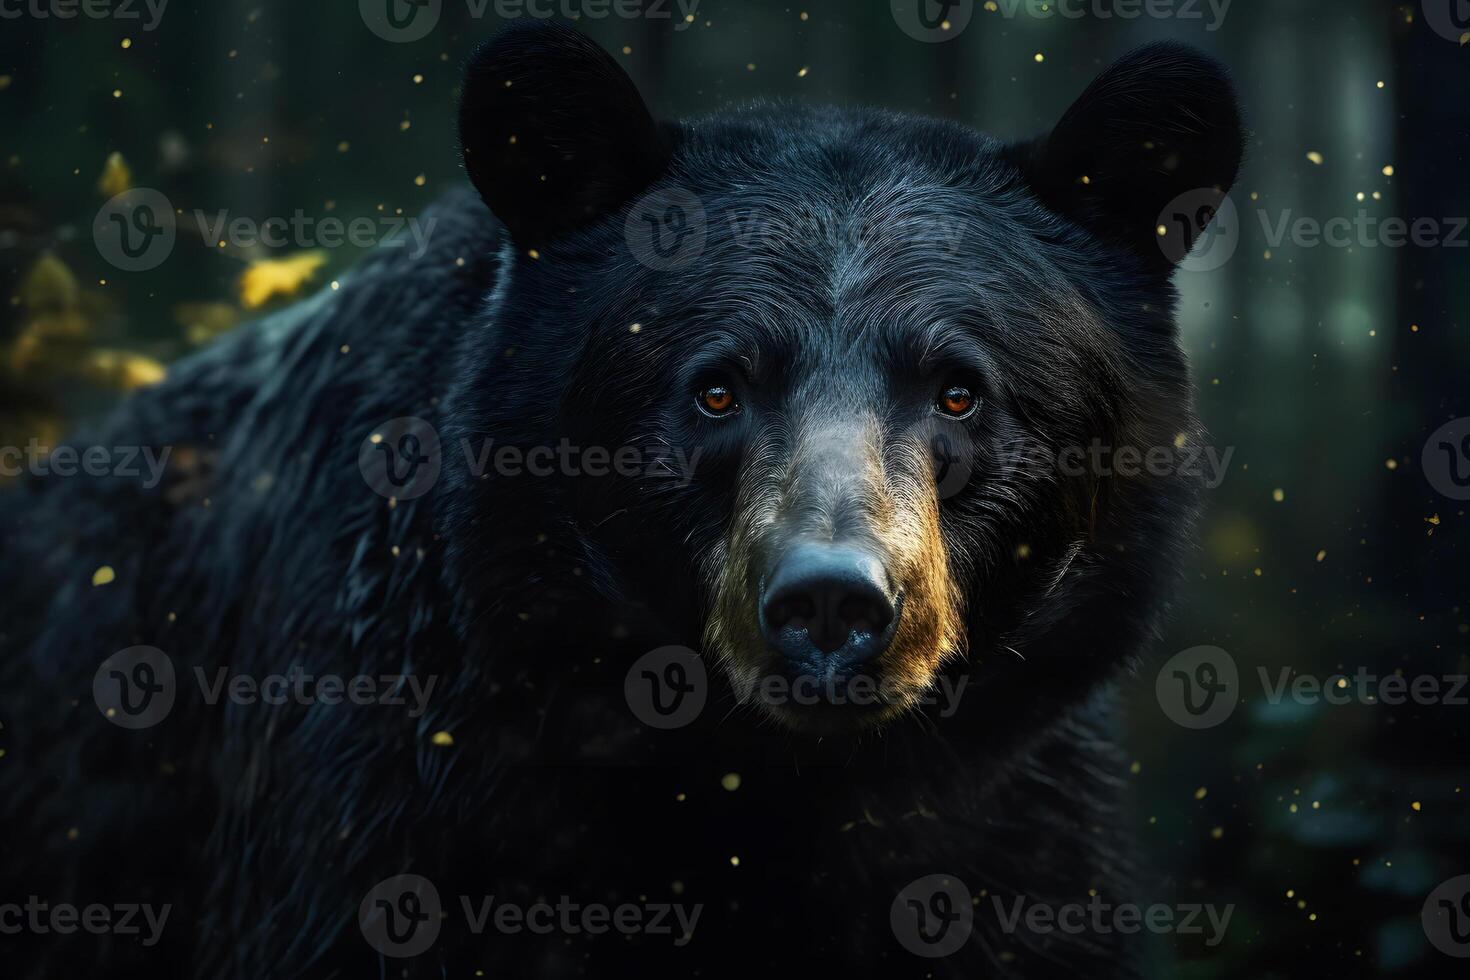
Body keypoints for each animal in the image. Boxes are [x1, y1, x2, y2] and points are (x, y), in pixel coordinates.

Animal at [0, 17, 1240, 980]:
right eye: (716, 386)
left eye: (959, 389)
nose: (832, 604)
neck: (757, 788)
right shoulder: (394, 802)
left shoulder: (1015, 841)